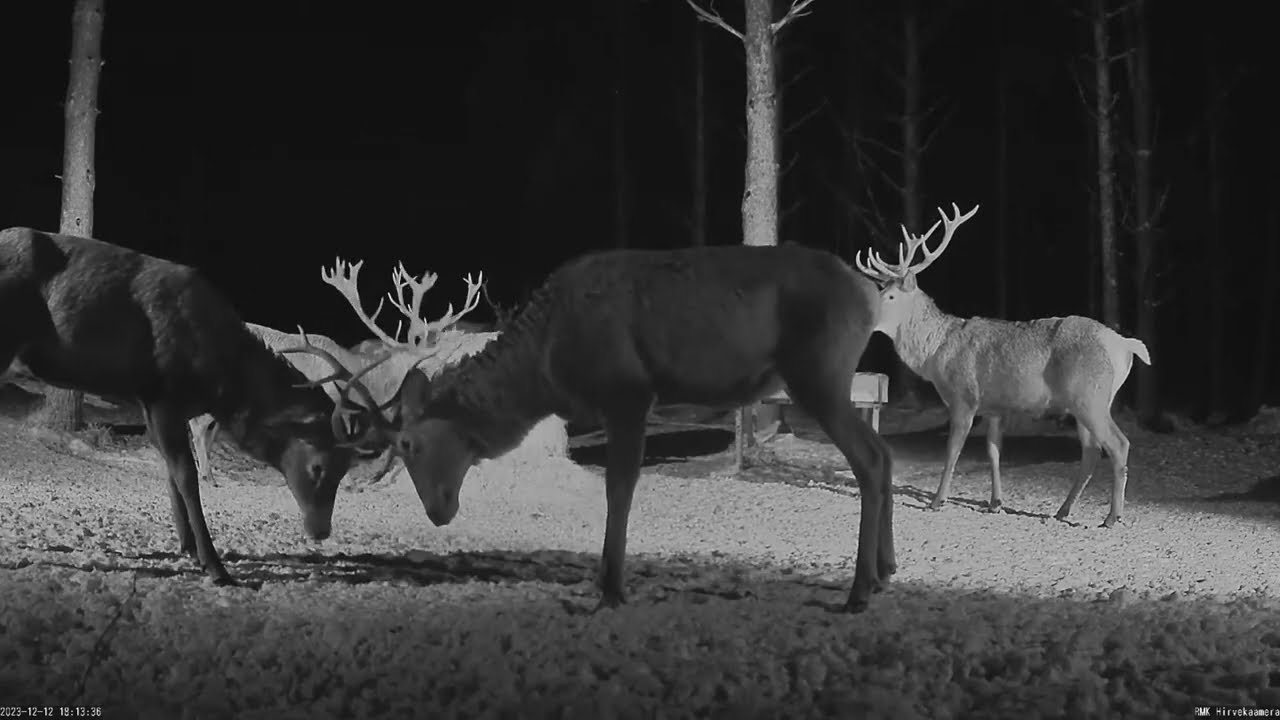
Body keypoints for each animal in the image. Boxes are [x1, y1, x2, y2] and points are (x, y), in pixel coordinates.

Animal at [0, 226, 390, 584]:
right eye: (317, 466)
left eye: (344, 469)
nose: (321, 531)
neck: (219, 382)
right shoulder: (164, 396)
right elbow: (186, 476)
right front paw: (214, 566)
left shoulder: (151, 402)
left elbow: (170, 473)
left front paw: (186, 547)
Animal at [343, 245, 897, 613]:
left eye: (408, 443)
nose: (438, 511)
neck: (546, 372)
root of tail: (871, 294)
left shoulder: (627, 394)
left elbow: (620, 489)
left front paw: (610, 587)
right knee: (884, 451)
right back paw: (886, 571)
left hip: (818, 371)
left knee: (869, 457)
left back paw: (858, 591)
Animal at [854, 204, 1152, 528]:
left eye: (890, 295)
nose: (864, 310)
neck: (935, 353)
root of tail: (1124, 345)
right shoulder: (995, 407)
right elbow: (993, 451)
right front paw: (995, 503)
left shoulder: (964, 396)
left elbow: (953, 450)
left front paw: (936, 501)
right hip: (1085, 402)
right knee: (1092, 450)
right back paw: (1063, 510)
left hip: (1091, 395)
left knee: (1118, 444)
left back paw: (1112, 517)